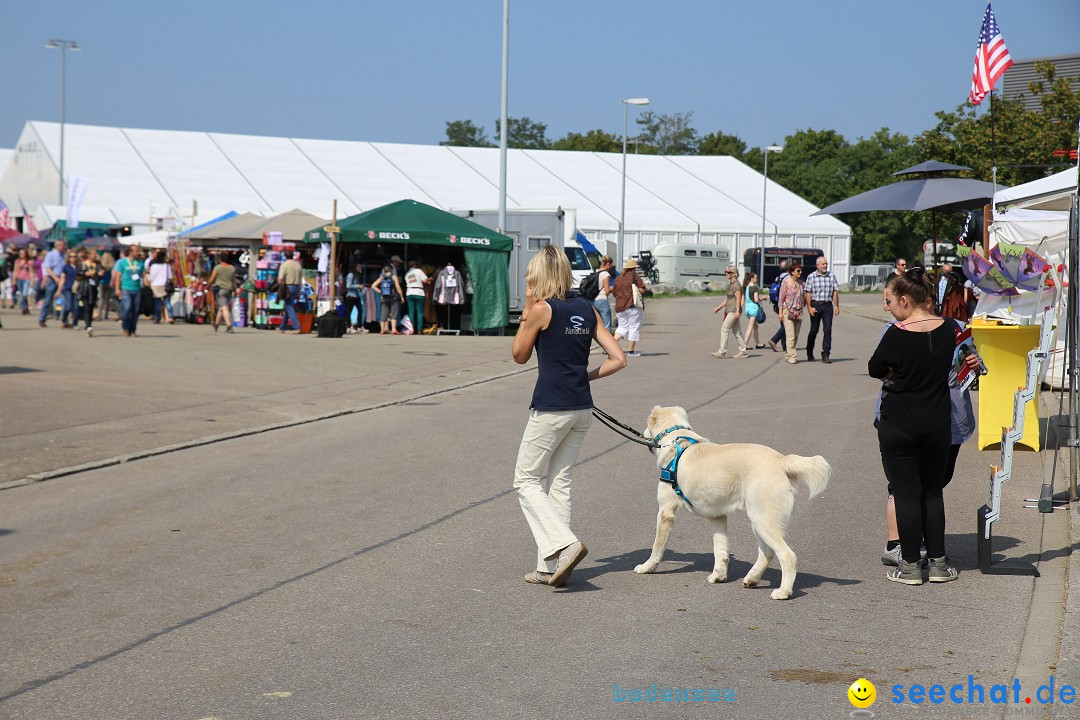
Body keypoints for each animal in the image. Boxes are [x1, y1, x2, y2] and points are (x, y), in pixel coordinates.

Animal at [635, 405, 829, 604]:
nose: (642, 433)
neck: (676, 441)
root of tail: (780, 460)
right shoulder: (717, 516)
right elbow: (721, 551)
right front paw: (718, 576)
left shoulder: (665, 512)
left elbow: (657, 547)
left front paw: (647, 567)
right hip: (758, 520)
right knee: (767, 553)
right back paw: (752, 578)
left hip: (762, 519)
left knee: (787, 555)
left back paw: (783, 592)